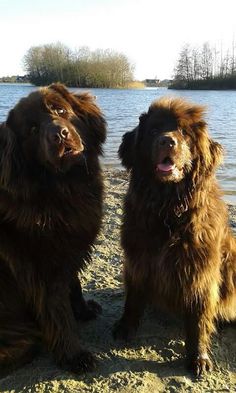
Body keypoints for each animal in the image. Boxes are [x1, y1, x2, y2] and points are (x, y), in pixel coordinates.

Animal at [0, 82, 106, 374]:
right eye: (33, 130)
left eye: (60, 110)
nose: (59, 134)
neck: (62, 188)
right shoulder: (41, 266)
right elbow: (57, 311)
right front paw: (74, 355)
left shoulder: (67, 249)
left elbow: (74, 284)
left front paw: (83, 311)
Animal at [113, 96, 236, 376]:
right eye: (153, 131)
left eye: (183, 132)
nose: (167, 141)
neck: (167, 208)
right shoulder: (138, 260)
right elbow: (133, 298)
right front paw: (125, 327)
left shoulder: (200, 271)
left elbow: (199, 317)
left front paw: (198, 357)